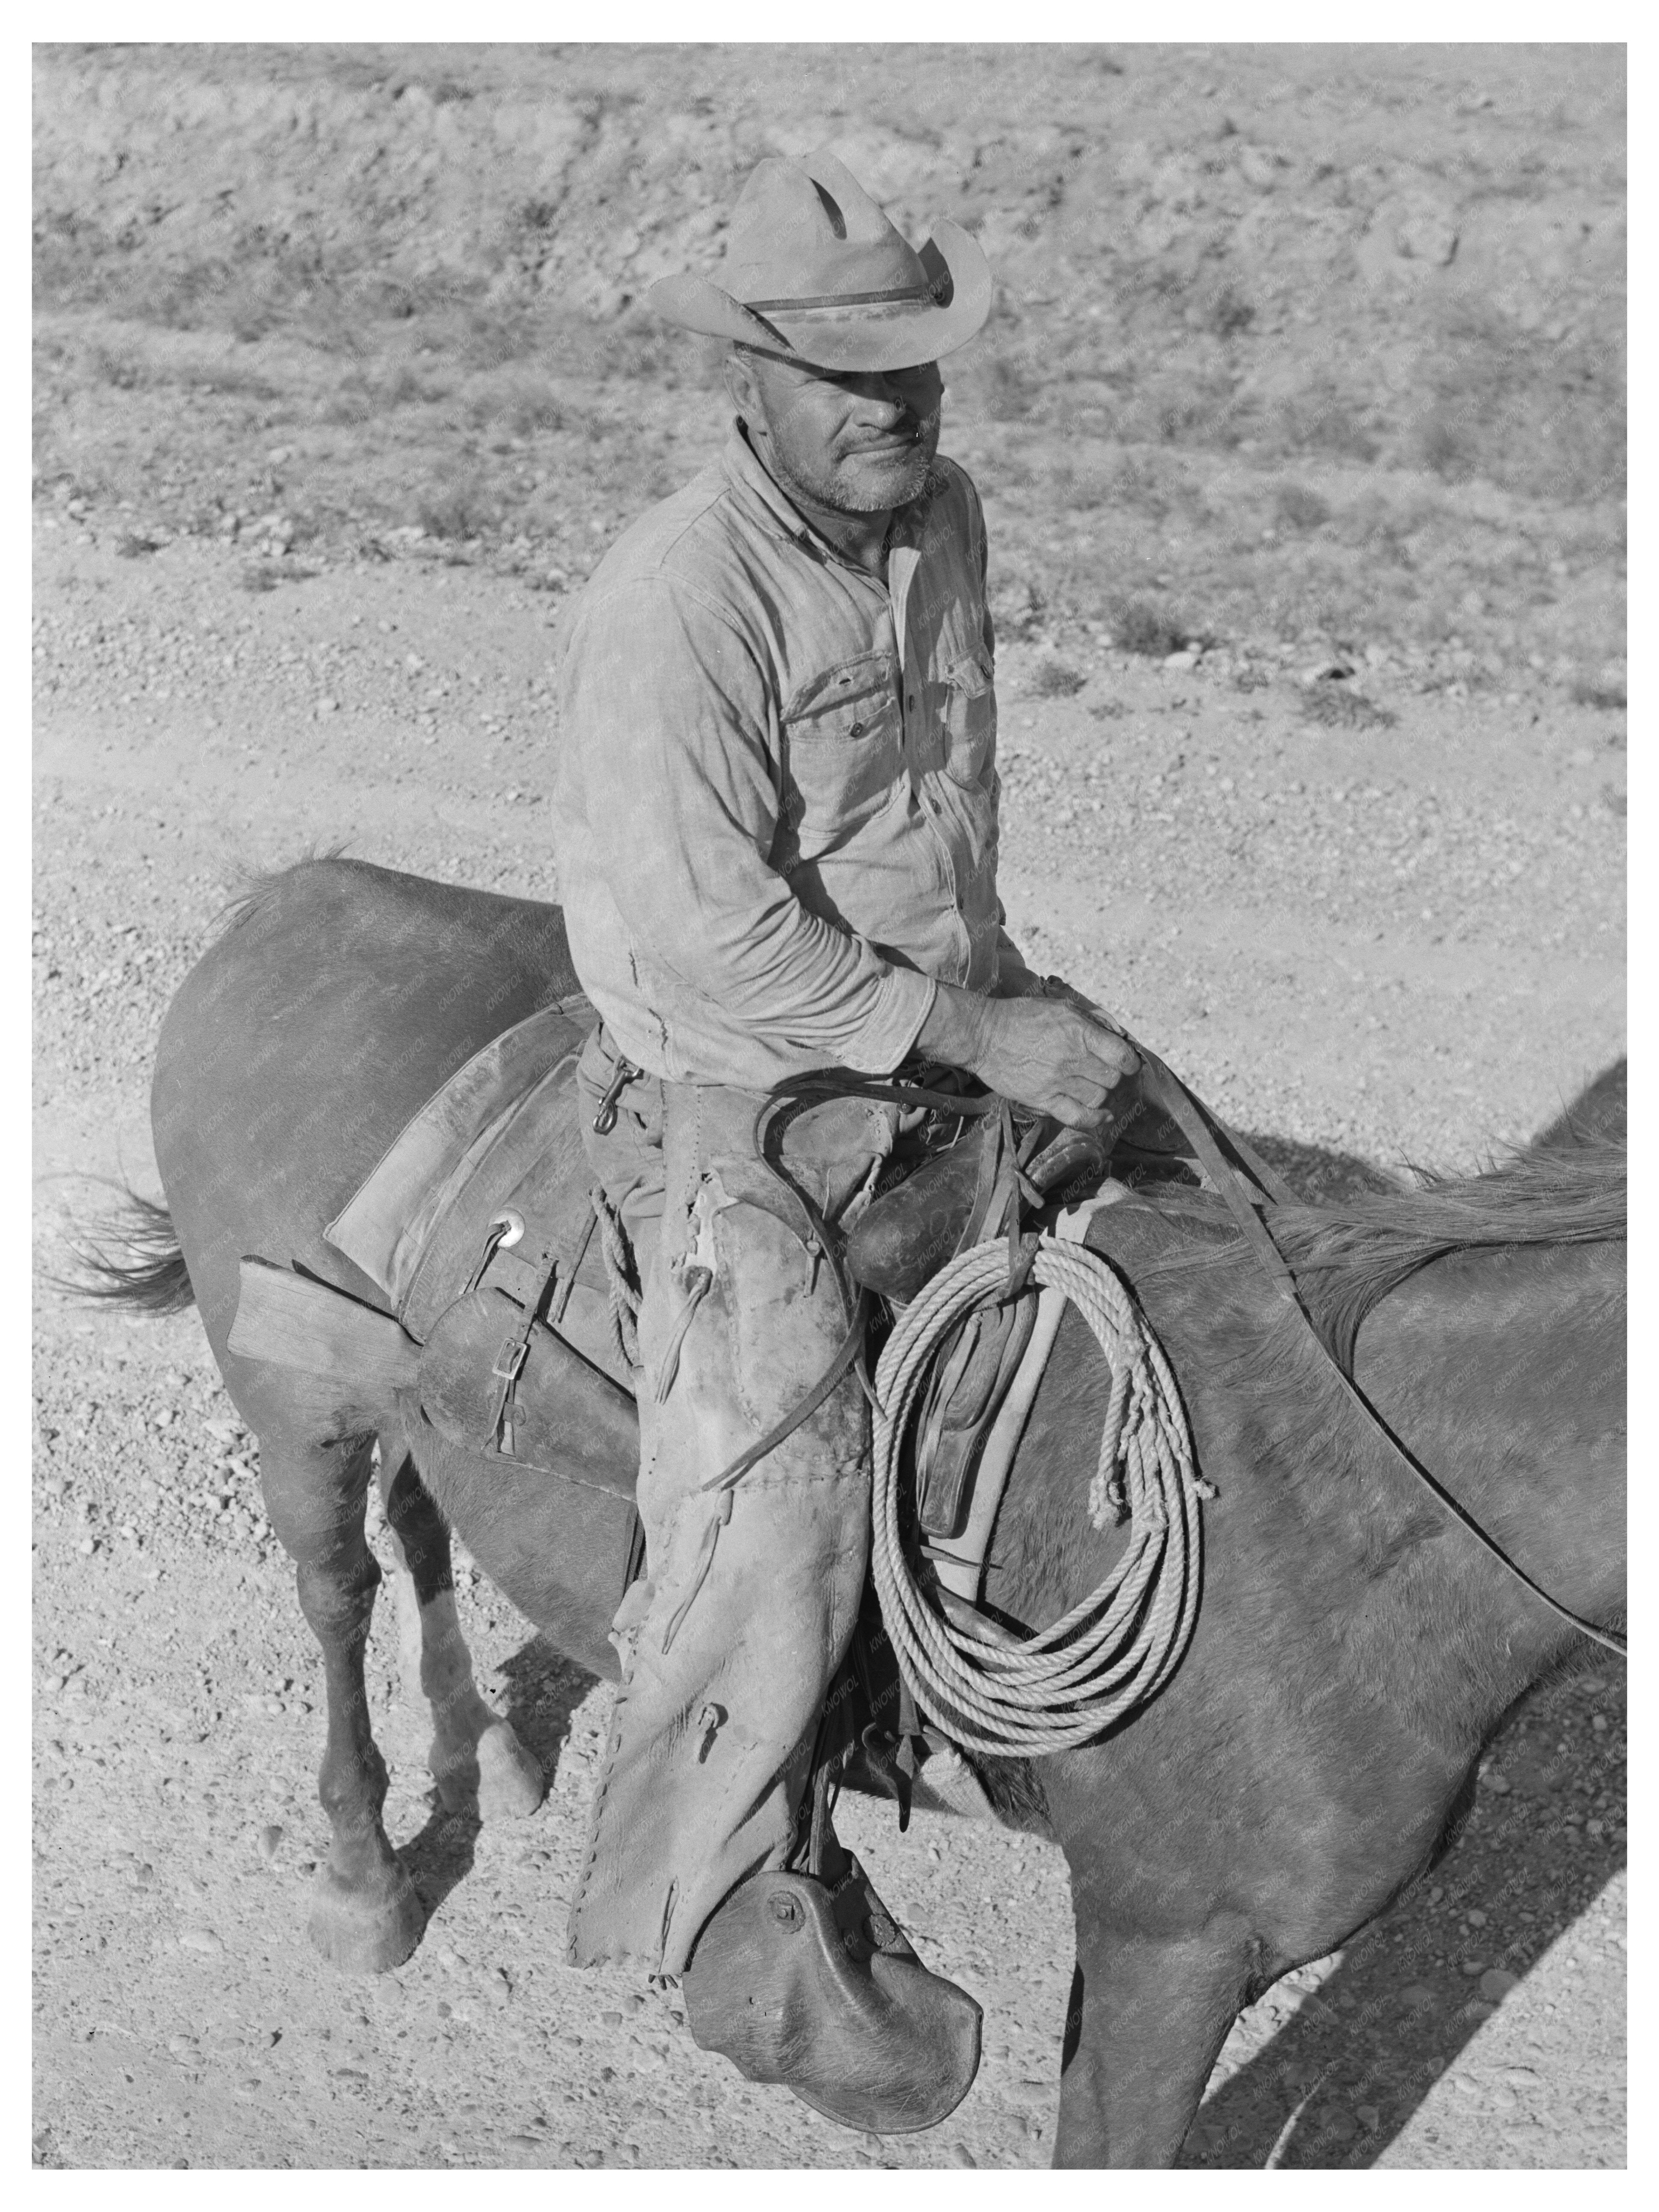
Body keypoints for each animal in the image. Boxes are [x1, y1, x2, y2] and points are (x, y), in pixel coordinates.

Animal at [78, 854, 1628, 2168]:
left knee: (420, 1522)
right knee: (334, 1590)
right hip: (295, 1404)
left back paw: (496, 1753)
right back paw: (365, 1880)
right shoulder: (1170, 1943)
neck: (1331, 1506)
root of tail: (288, 896)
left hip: (404, 1409)